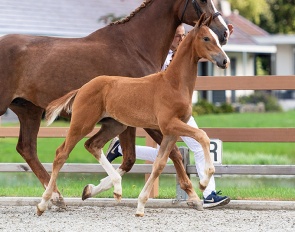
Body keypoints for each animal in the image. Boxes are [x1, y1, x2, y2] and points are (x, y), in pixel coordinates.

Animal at [37, 14, 230, 217]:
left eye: (216, 38)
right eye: (206, 38)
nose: (225, 61)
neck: (173, 84)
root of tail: (83, 88)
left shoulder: (171, 132)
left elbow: (159, 164)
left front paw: (141, 205)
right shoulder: (169, 124)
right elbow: (203, 136)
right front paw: (203, 181)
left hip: (115, 125)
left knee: (92, 145)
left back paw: (113, 188)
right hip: (82, 123)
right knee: (61, 154)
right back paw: (43, 203)